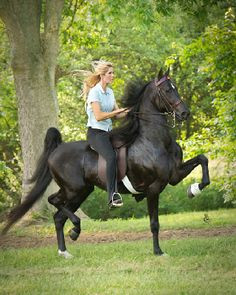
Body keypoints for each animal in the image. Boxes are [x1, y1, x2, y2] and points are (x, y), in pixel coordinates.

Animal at [1, 69, 210, 260]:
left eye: (175, 88)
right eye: (167, 90)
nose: (185, 113)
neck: (154, 140)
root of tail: (56, 150)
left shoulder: (174, 176)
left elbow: (203, 160)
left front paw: (194, 190)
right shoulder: (153, 188)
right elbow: (154, 223)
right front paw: (158, 252)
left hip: (82, 191)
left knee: (58, 217)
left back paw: (65, 250)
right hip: (74, 189)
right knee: (54, 201)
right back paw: (75, 230)